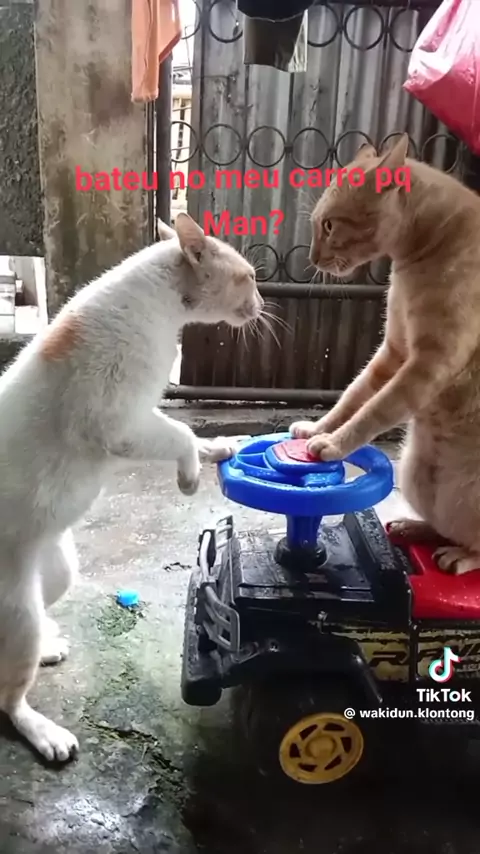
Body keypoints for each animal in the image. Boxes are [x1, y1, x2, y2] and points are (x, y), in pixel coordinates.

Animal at [0, 212, 263, 762]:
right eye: (249, 278)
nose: (262, 300)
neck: (162, 302)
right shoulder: (119, 422)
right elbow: (181, 432)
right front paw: (189, 475)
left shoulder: (140, 416)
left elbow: (192, 436)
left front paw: (221, 448)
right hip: (18, 611)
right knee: (9, 698)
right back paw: (44, 730)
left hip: (56, 570)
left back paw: (49, 647)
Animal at [291, 133, 480, 577]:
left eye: (329, 225)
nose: (312, 259)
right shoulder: (392, 351)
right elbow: (354, 396)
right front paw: (319, 429)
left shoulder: (429, 365)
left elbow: (376, 410)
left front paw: (335, 444)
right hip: (417, 477)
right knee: (449, 525)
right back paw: (417, 528)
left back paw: (462, 557)